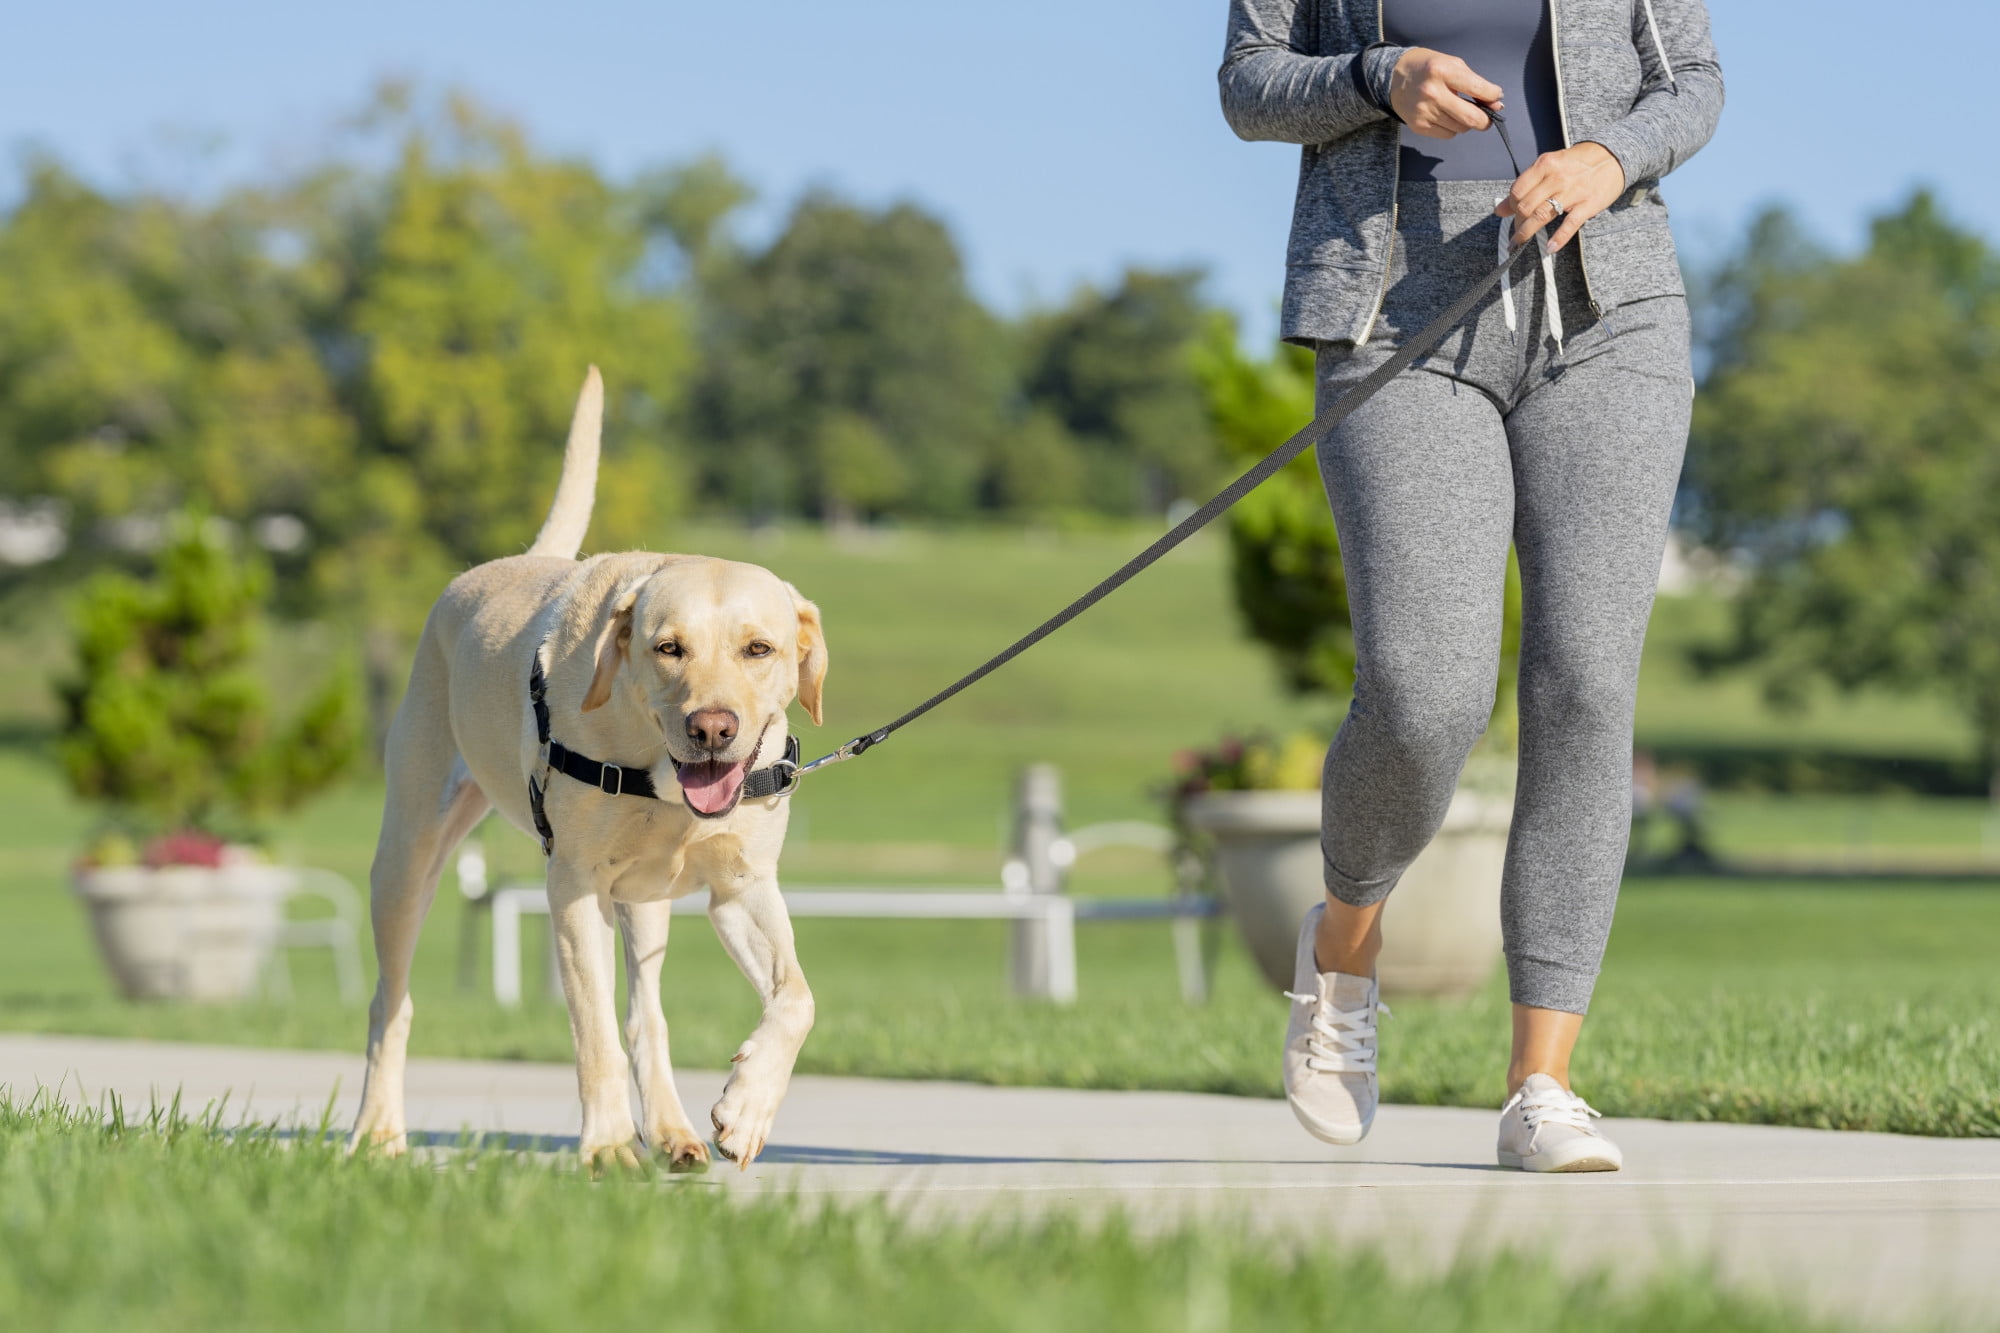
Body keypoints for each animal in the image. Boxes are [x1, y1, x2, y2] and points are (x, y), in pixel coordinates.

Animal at [356, 368, 824, 1168]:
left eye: (758, 648)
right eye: (669, 647)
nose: (713, 728)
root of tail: (501, 565)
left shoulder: (741, 886)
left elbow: (796, 996)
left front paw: (746, 1107)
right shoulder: (573, 884)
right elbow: (593, 1029)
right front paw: (607, 1146)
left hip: (647, 898)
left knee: (648, 1013)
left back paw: (672, 1132)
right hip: (408, 857)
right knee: (392, 999)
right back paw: (376, 1131)